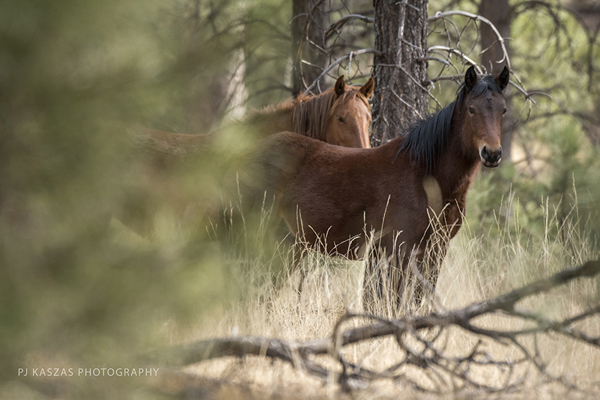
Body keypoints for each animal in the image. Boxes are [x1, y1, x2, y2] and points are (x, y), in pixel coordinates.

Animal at [237, 65, 508, 310]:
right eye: (471, 109)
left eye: (503, 110)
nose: (492, 154)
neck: (425, 174)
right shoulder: (401, 249)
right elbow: (393, 302)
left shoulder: (435, 249)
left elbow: (416, 301)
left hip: (288, 243)